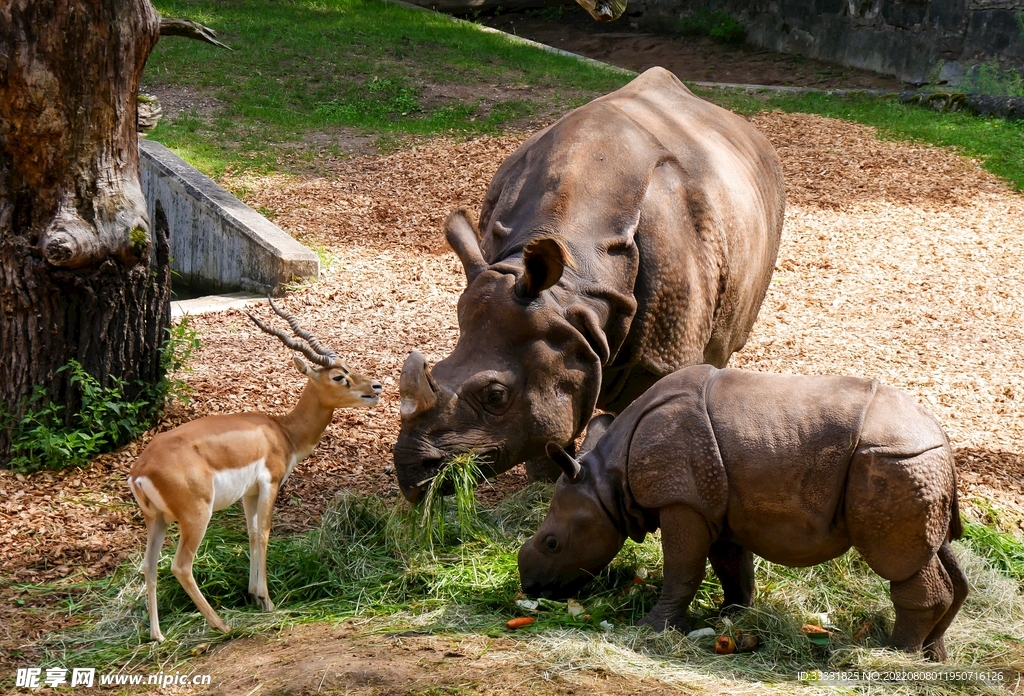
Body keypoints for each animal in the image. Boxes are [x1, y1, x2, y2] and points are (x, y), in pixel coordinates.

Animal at [128, 298, 382, 642]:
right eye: (339, 376)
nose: (376, 387)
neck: (282, 431)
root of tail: (141, 469)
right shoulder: (270, 484)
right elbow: (263, 533)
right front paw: (266, 600)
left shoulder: (248, 494)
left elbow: (249, 534)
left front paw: (251, 595)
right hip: (196, 516)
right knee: (180, 566)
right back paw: (221, 624)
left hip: (156, 520)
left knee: (149, 566)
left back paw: (158, 636)